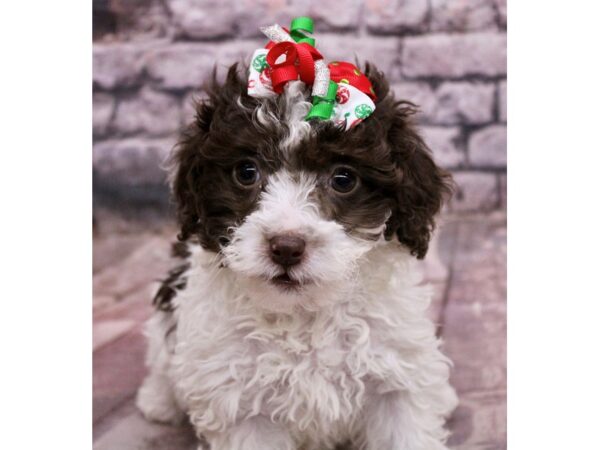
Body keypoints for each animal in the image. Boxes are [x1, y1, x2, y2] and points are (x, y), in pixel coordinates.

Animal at [137, 63, 460, 450]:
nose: (286, 247)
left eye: (343, 178)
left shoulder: (395, 377)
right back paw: (157, 400)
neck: (304, 315)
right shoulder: (242, 403)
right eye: (246, 172)